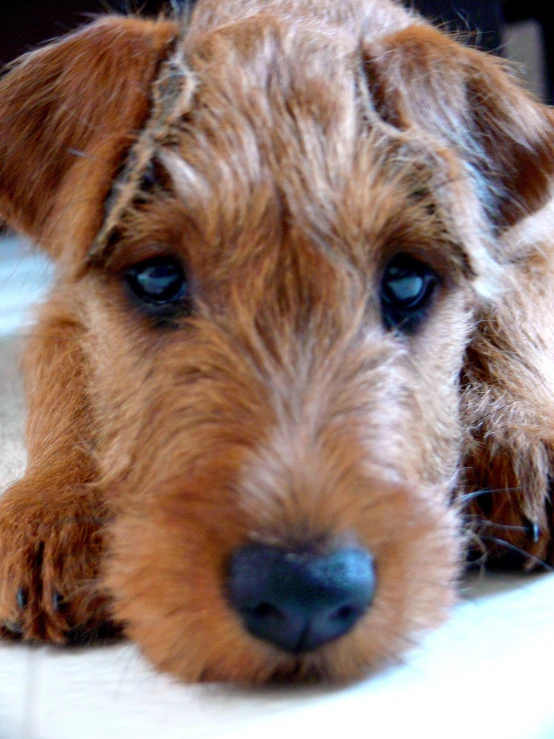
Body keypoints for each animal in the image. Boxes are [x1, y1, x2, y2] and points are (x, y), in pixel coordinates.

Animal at [0, 0, 548, 684]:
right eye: (157, 278)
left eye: (407, 279)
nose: (304, 593)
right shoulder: (65, 305)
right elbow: (70, 381)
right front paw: (54, 508)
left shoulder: (532, 242)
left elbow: (511, 312)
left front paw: (516, 430)